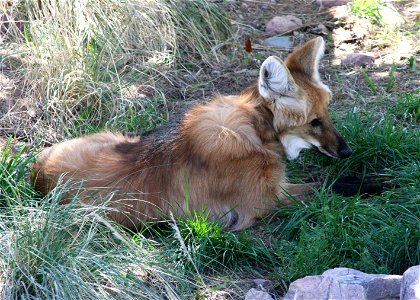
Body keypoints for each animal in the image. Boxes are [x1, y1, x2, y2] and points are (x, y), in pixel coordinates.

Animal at [32, 37, 352, 230]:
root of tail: (37, 171)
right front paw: (363, 183)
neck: (257, 130)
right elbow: (331, 185)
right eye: (314, 122)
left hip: (117, 138)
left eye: (327, 114)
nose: (347, 151)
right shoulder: (266, 202)